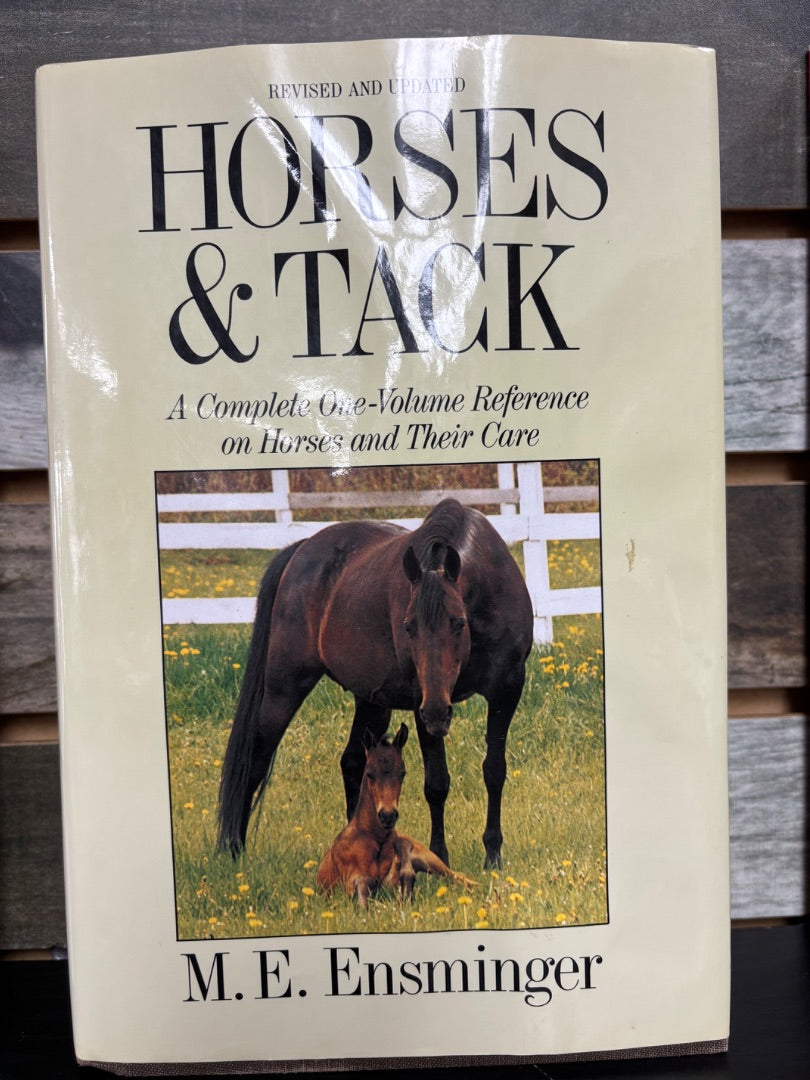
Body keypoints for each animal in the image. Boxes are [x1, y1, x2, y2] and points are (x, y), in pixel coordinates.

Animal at [217, 496, 534, 868]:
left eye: (459, 622)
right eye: (409, 626)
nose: (439, 713)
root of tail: (301, 551)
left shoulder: (506, 690)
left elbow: (494, 771)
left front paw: (493, 855)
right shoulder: (421, 701)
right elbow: (437, 784)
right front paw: (440, 855)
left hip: (371, 701)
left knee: (352, 762)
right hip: (285, 687)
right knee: (255, 760)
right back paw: (232, 849)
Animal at [316, 723, 476, 908]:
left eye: (403, 773)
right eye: (369, 773)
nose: (388, 815)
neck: (375, 837)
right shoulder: (349, 881)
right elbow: (365, 888)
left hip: (429, 859)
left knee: (461, 878)